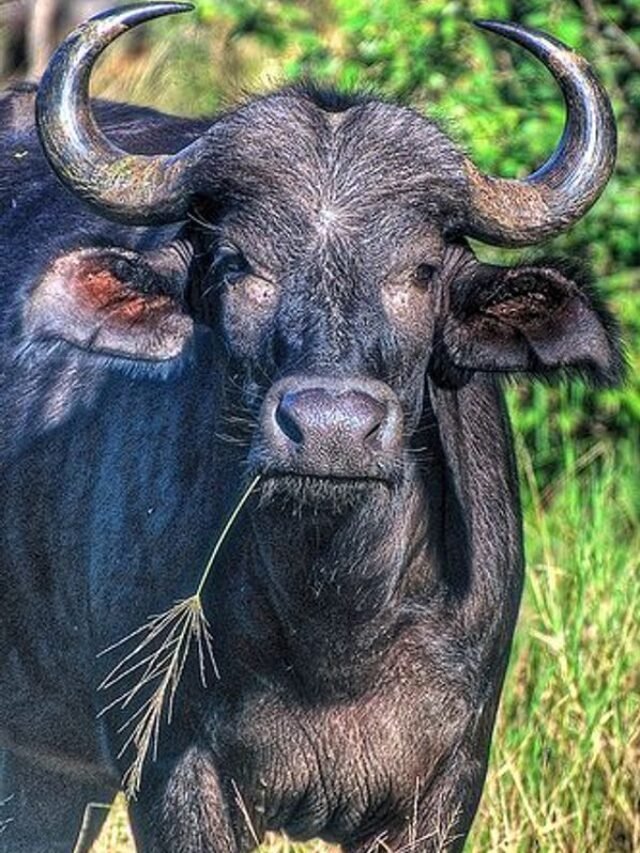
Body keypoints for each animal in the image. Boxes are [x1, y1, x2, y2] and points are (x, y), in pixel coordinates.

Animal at [0, 1, 620, 852]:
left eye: (422, 271)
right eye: (236, 263)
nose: (330, 427)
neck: (335, 623)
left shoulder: (447, 783)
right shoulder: (172, 772)